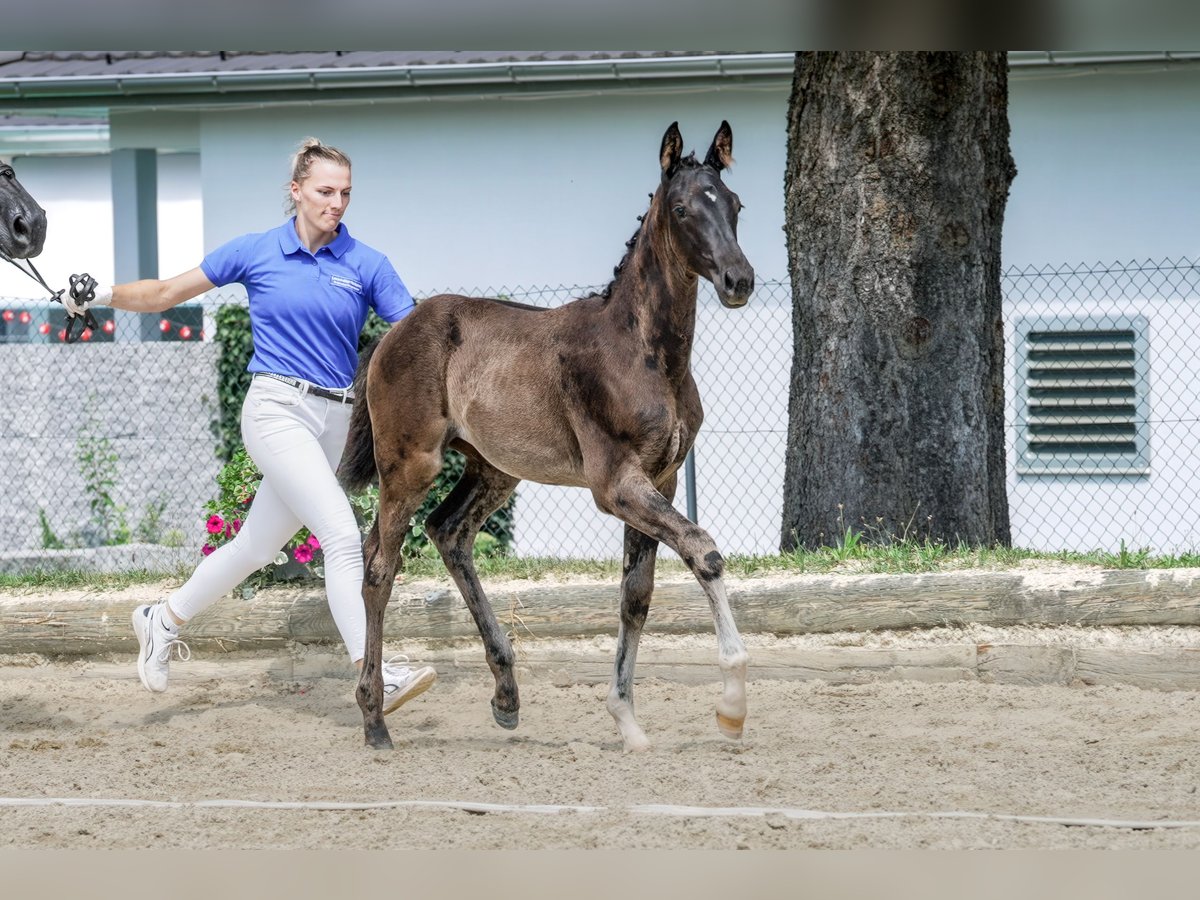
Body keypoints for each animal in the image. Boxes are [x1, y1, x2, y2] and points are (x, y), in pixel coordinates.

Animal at [338, 121, 753, 753]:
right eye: (682, 209)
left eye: (735, 204)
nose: (739, 280)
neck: (642, 353)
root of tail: (389, 334)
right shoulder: (616, 485)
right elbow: (703, 550)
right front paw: (731, 704)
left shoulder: (660, 479)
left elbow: (636, 596)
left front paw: (628, 722)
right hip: (409, 465)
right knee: (379, 567)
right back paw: (375, 720)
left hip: (493, 469)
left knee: (449, 532)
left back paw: (506, 695)